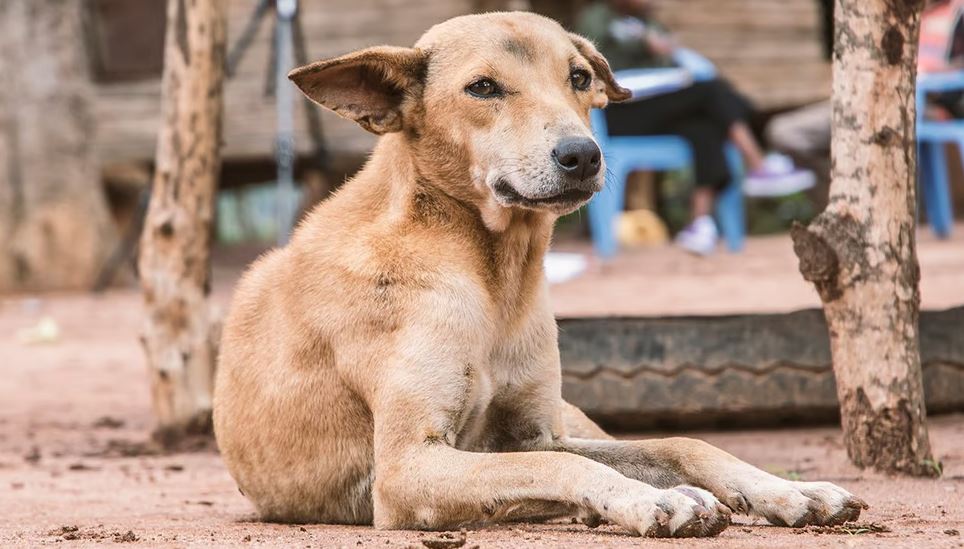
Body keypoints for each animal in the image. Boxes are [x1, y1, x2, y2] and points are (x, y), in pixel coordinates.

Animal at [215, 11, 868, 536]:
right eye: (482, 87)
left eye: (578, 77)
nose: (583, 155)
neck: (492, 276)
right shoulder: (405, 468)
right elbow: (555, 465)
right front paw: (646, 501)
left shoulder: (536, 430)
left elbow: (680, 443)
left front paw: (786, 491)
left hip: (571, 413)